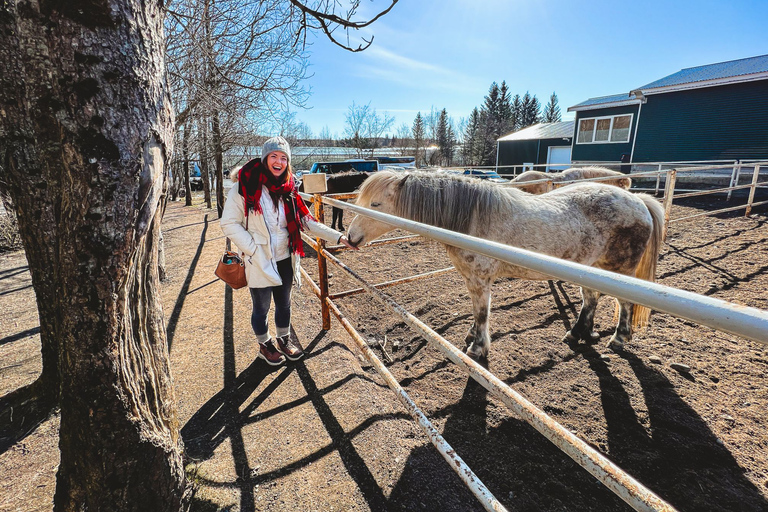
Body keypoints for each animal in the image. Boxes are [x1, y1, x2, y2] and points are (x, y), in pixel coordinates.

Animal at [348, 171, 664, 360]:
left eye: (375, 204)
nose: (350, 238)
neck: (470, 220)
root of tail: (637, 200)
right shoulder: (472, 280)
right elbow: (477, 313)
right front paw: (472, 336)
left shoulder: (480, 280)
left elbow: (482, 312)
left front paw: (477, 348)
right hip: (591, 268)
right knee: (591, 298)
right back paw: (578, 333)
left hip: (620, 272)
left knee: (623, 303)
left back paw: (619, 338)